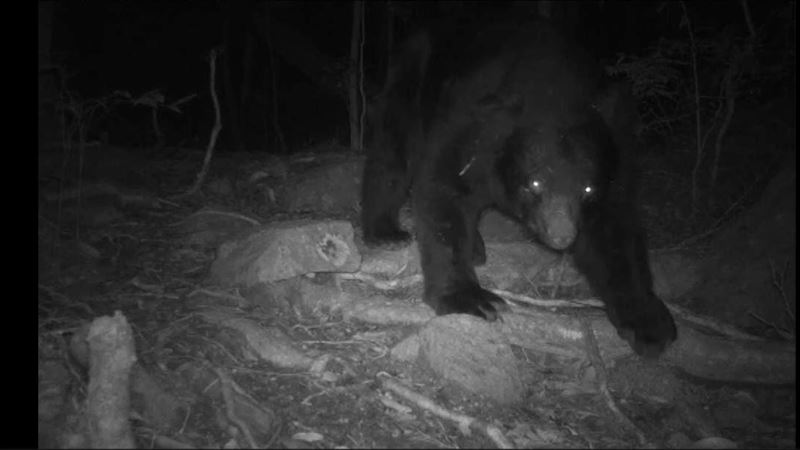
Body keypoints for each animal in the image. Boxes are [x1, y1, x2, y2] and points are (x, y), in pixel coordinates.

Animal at [361, 19, 677, 358]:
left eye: (588, 190)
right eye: (534, 183)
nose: (562, 236)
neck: (555, 87)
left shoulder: (618, 149)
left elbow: (616, 227)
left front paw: (649, 324)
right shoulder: (474, 122)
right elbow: (443, 186)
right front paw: (472, 299)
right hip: (412, 74)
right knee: (394, 146)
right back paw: (385, 231)